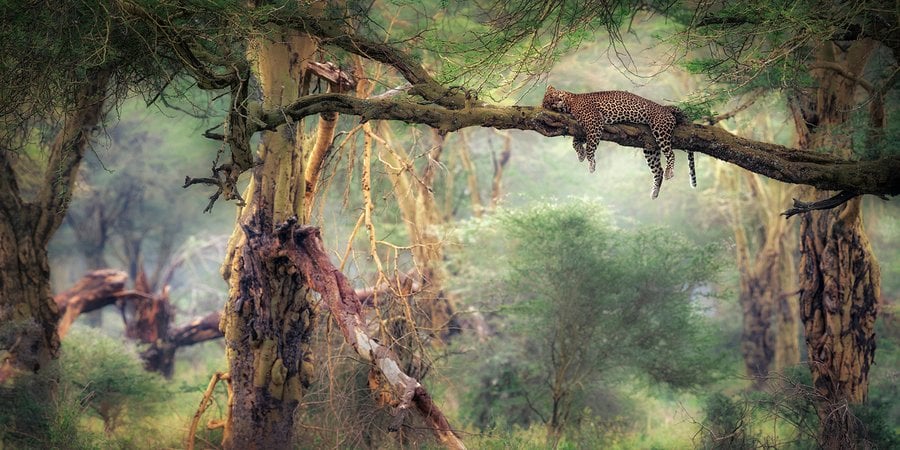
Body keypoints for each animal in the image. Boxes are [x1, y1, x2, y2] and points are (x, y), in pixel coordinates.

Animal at [542, 85, 696, 199]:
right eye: (547, 102)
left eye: (549, 98)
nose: (546, 104)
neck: (570, 101)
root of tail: (665, 107)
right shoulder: (584, 126)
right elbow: (576, 141)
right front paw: (581, 155)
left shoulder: (594, 123)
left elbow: (590, 147)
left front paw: (591, 163)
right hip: (650, 146)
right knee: (658, 170)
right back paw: (654, 192)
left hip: (660, 130)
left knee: (670, 154)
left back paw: (670, 171)